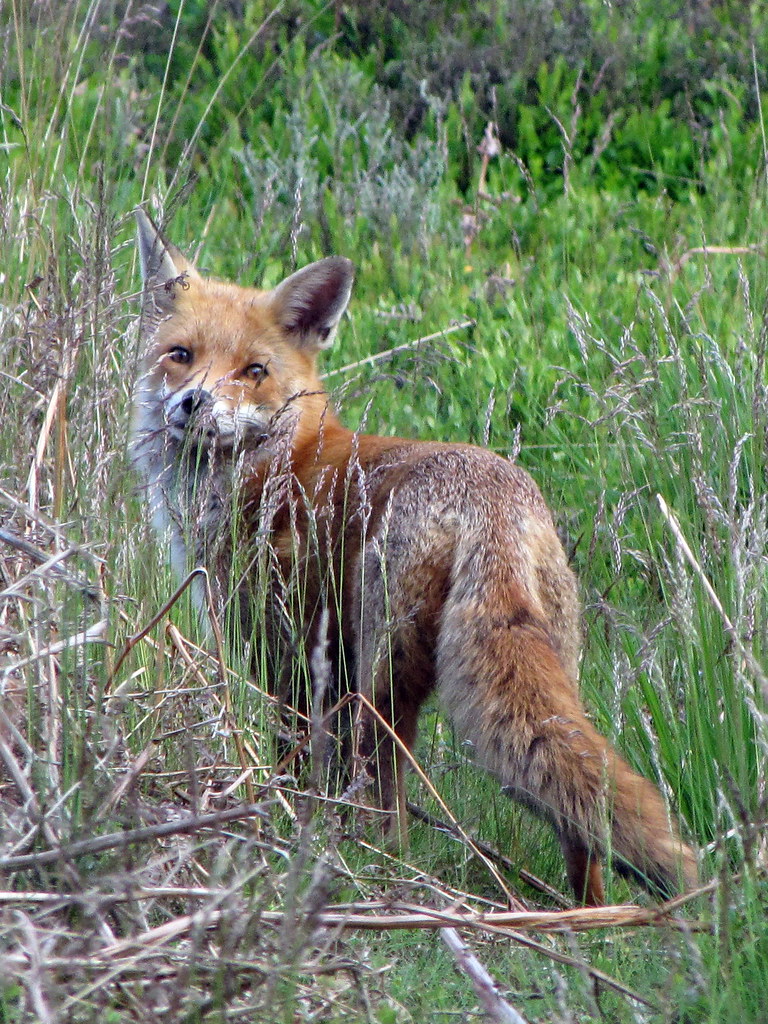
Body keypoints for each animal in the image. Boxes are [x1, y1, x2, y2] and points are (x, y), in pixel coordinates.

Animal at [131, 209, 697, 906]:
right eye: (181, 356)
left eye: (253, 370)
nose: (193, 403)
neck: (273, 461)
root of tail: (496, 500)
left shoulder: (289, 649)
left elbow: (293, 750)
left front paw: (283, 813)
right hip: (550, 667)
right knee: (579, 811)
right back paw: (587, 912)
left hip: (383, 676)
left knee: (388, 790)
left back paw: (376, 864)